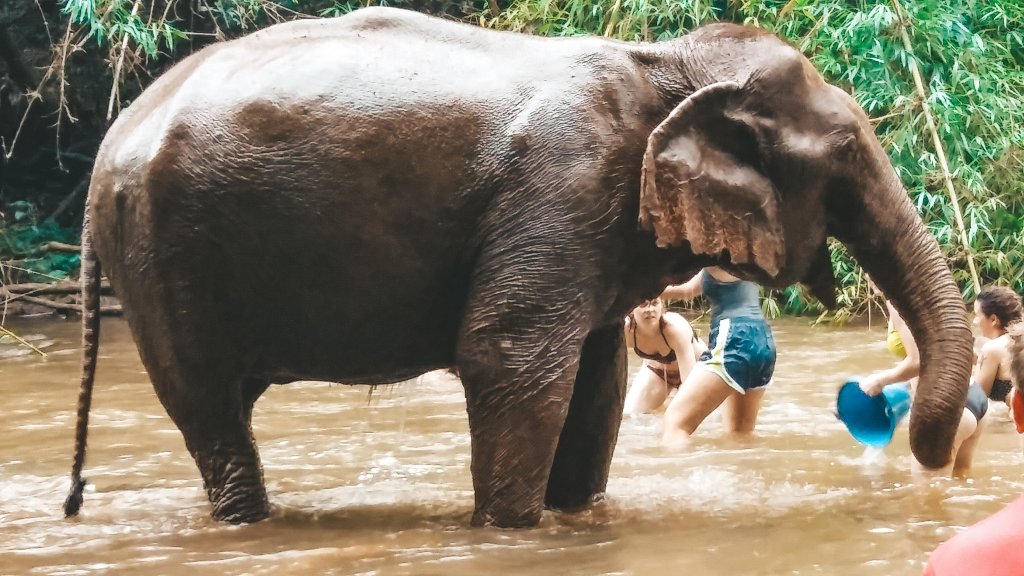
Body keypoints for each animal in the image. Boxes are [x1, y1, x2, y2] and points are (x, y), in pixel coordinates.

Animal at [64, 6, 974, 524]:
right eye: (847, 151)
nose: (932, 458)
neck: (662, 63)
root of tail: (108, 145)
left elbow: (595, 378)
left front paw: (577, 519)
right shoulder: (562, 184)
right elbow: (511, 357)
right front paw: (509, 531)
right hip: (162, 254)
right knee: (211, 408)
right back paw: (247, 522)